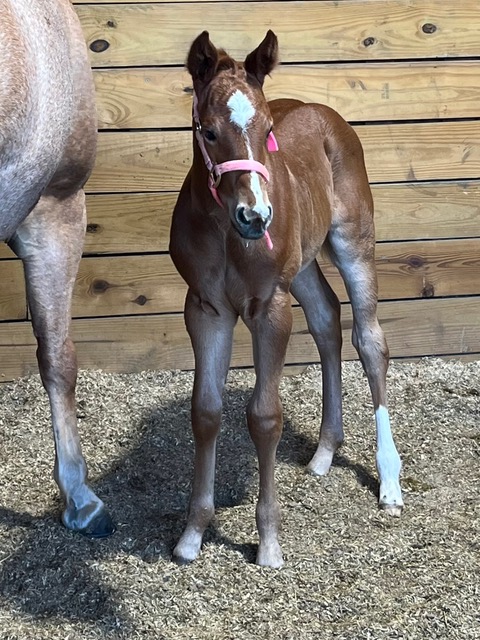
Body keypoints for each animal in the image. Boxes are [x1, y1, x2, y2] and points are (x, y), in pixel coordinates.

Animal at [171, 31, 404, 568]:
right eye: (208, 131)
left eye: (268, 130)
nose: (256, 216)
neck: (226, 233)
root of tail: (323, 111)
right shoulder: (205, 309)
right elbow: (206, 412)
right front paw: (193, 533)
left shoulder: (269, 307)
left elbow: (264, 416)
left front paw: (269, 542)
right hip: (303, 263)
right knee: (326, 318)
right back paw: (324, 452)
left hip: (353, 242)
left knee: (369, 340)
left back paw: (389, 481)